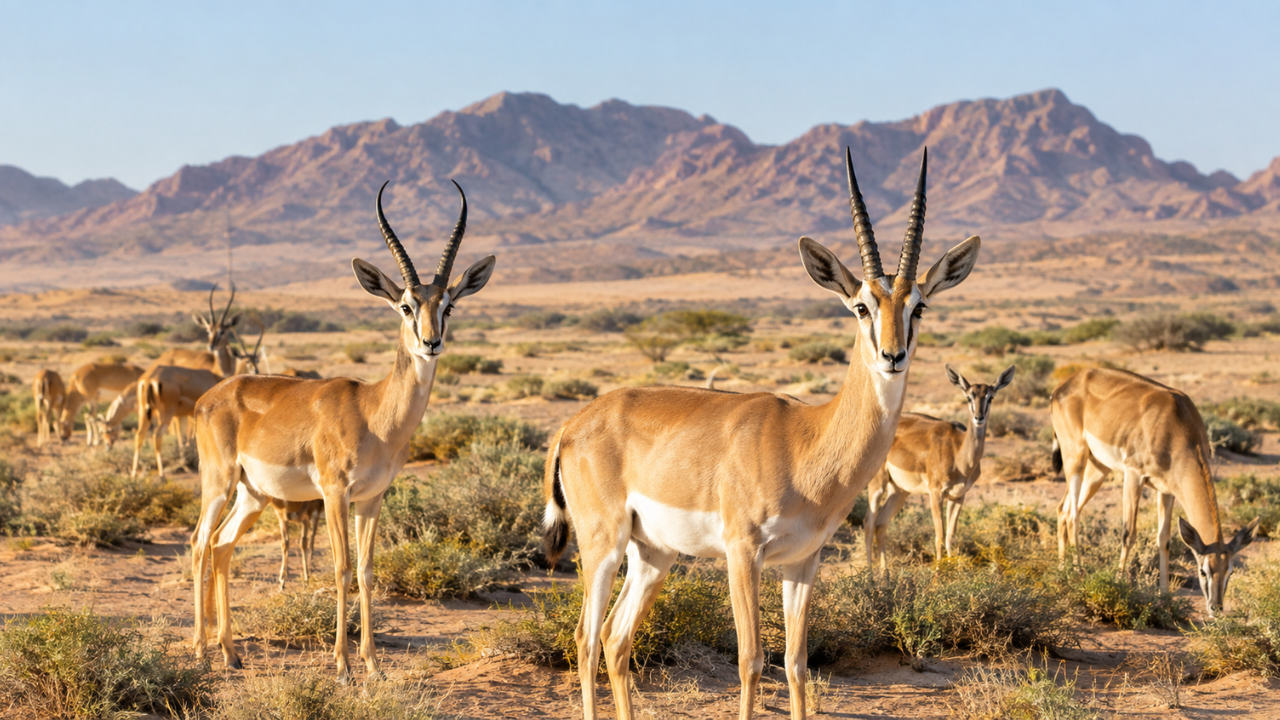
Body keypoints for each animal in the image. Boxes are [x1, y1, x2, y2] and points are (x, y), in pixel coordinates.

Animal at [190, 181, 495, 681]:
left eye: (448, 306)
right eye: (405, 305)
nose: (431, 342)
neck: (375, 415)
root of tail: (210, 396)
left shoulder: (371, 498)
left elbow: (368, 570)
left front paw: (372, 665)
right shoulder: (335, 493)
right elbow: (341, 567)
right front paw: (343, 667)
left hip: (253, 494)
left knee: (222, 545)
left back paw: (231, 653)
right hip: (219, 483)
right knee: (199, 543)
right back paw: (199, 651)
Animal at [541, 149, 981, 720]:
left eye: (919, 305)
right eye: (861, 305)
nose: (892, 355)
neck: (806, 442)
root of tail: (572, 424)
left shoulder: (803, 563)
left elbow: (796, 664)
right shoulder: (742, 552)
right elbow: (751, 660)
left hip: (653, 554)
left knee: (617, 640)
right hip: (603, 544)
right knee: (586, 639)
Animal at [863, 364, 1015, 570]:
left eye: (990, 397)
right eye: (969, 397)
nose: (979, 417)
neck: (960, 457)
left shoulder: (958, 496)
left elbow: (951, 537)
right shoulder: (935, 493)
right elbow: (939, 536)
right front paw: (938, 573)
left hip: (900, 491)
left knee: (881, 523)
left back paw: (885, 574)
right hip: (878, 484)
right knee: (868, 523)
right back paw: (869, 574)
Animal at [1052, 367, 1260, 616]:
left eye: (1230, 571)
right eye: (1203, 570)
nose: (1215, 608)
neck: (1176, 424)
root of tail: (1065, 384)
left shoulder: (1167, 490)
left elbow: (1164, 539)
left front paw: (1165, 599)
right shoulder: (1133, 475)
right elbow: (1128, 533)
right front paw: (1118, 588)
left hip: (1098, 470)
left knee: (1063, 510)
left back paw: (1062, 571)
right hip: (1076, 459)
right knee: (1073, 514)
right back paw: (1076, 573)